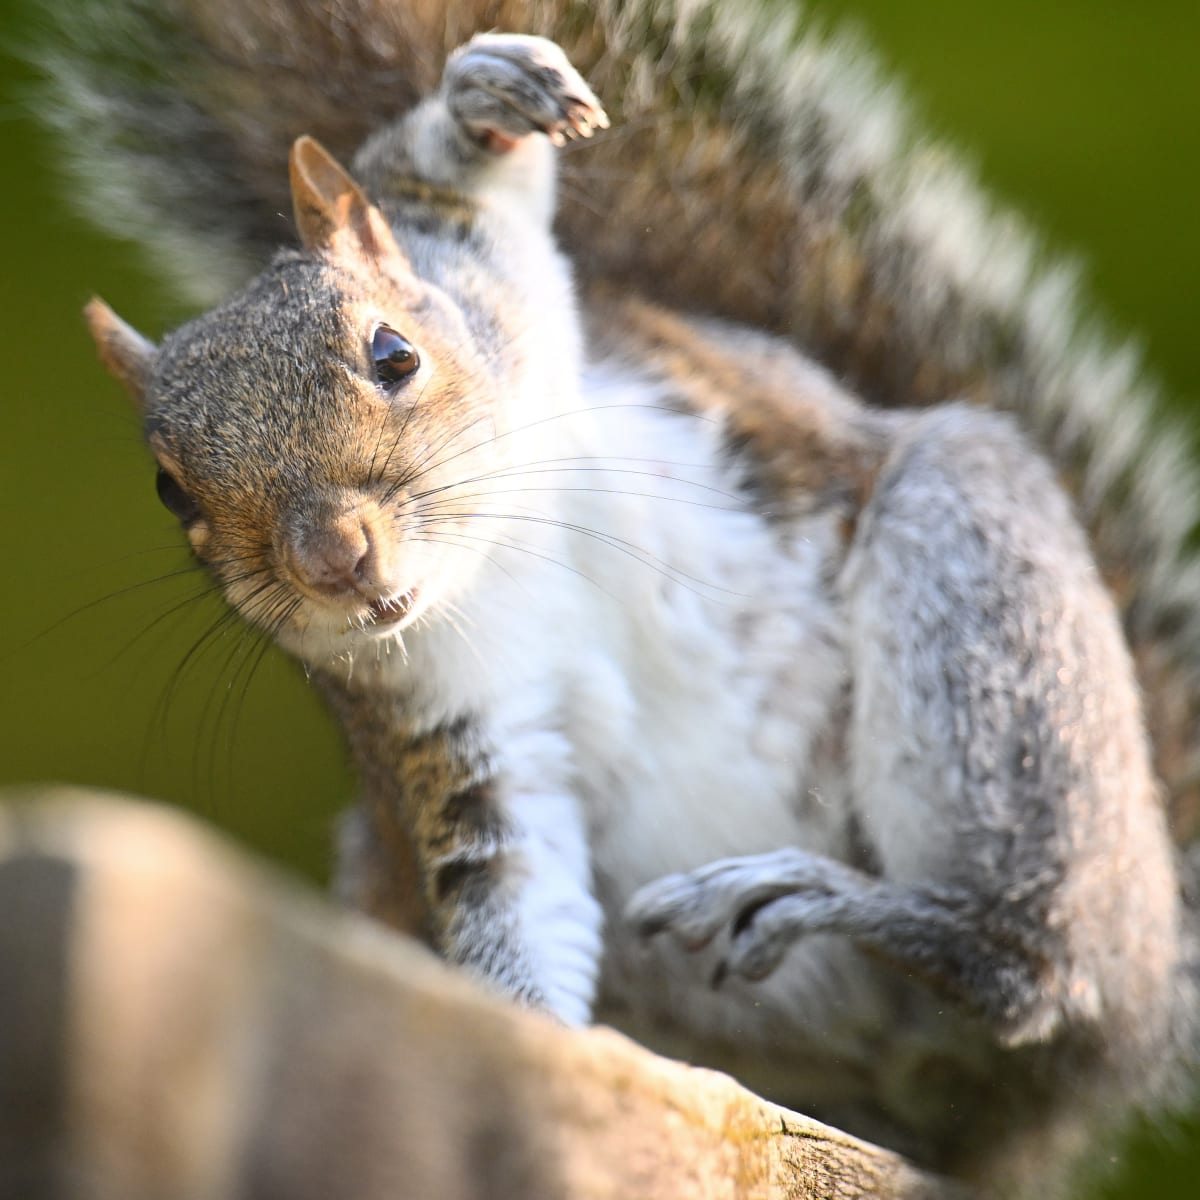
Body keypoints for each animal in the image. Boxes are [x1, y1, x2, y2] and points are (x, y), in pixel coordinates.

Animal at [35, 0, 1200, 1195]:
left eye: (394, 352)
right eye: (172, 490)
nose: (335, 557)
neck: (495, 563)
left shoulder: (504, 296)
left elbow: (463, 201)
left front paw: (485, 97)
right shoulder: (457, 728)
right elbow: (514, 887)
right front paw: (535, 1049)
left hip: (982, 599)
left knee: (1034, 973)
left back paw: (862, 910)